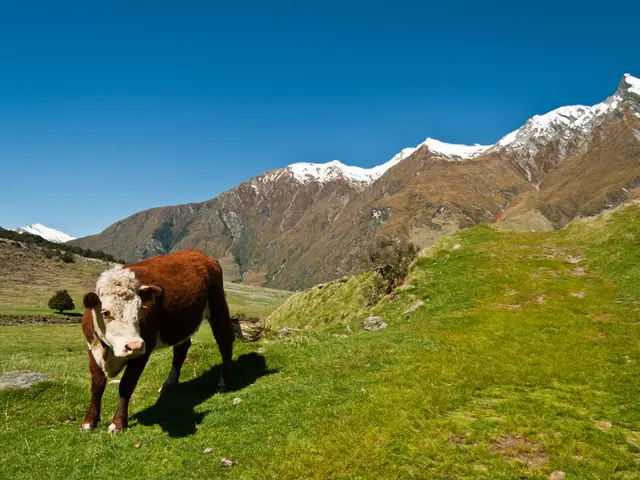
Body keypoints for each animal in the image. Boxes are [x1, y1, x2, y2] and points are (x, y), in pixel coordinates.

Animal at [80, 249, 263, 433]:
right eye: (105, 312)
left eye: (140, 309)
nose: (134, 346)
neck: (110, 351)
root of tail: (202, 255)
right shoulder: (92, 348)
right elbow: (97, 385)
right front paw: (89, 422)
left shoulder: (144, 349)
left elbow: (126, 384)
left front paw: (118, 423)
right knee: (182, 349)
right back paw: (169, 383)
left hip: (217, 307)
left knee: (224, 341)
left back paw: (224, 381)